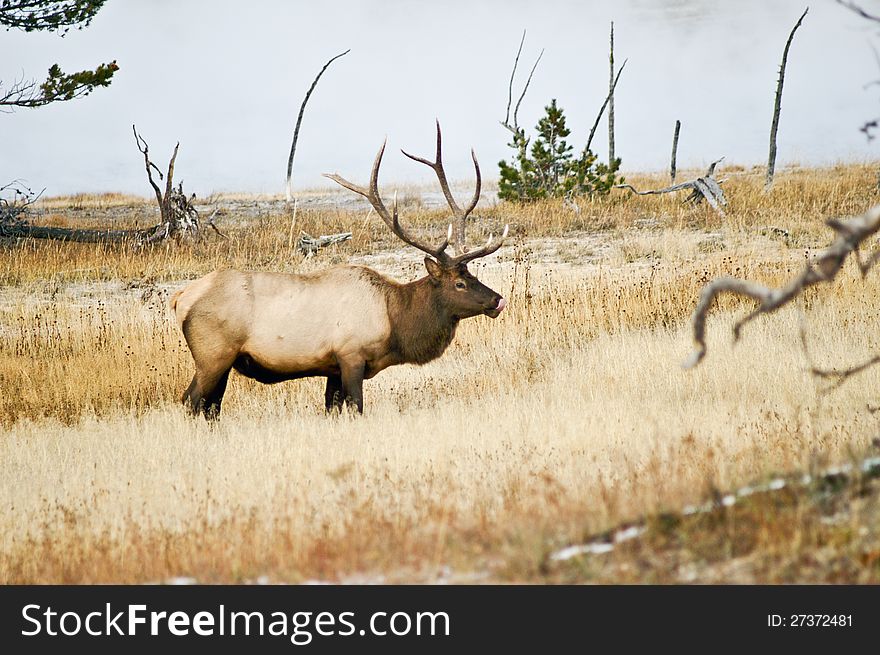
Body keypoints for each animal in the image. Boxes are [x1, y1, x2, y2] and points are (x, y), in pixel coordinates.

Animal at [171, 121, 508, 420]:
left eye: (473, 275)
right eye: (459, 283)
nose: (498, 300)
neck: (394, 320)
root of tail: (180, 298)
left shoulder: (331, 367)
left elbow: (331, 409)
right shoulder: (350, 355)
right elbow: (356, 407)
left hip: (223, 361)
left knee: (211, 408)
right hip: (212, 355)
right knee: (191, 401)